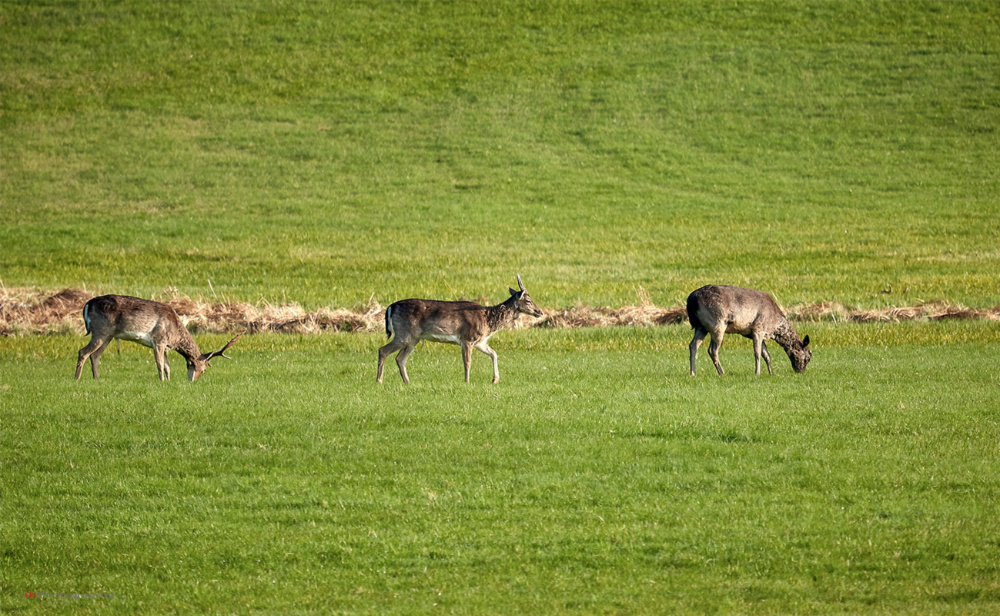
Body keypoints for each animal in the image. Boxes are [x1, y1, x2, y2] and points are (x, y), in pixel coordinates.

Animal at [75, 296, 243, 382]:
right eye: (204, 369)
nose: (193, 381)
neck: (175, 332)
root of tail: (87, 304)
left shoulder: (166, 346)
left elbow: (168, 366)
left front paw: (168, 381)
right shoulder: (159, 340)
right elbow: (160, 364)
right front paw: (162, 381)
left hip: (108, 335)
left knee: (94, 355)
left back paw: (96, 378)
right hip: (100, 330)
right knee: (83, 352)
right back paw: (77, 378)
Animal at [376, 276, 548, 384]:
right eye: (528, 300)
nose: (540, 312)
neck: (488, 321)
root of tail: (391, 307)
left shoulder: (480, 341)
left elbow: (494, 353)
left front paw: (495, 379)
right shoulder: (467, 338)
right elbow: (467, 362)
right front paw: (467, 381)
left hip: (413, 338)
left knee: (400, 358)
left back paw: (407, 382)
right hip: (403, 333)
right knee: (383, 350)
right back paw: (379, 381)